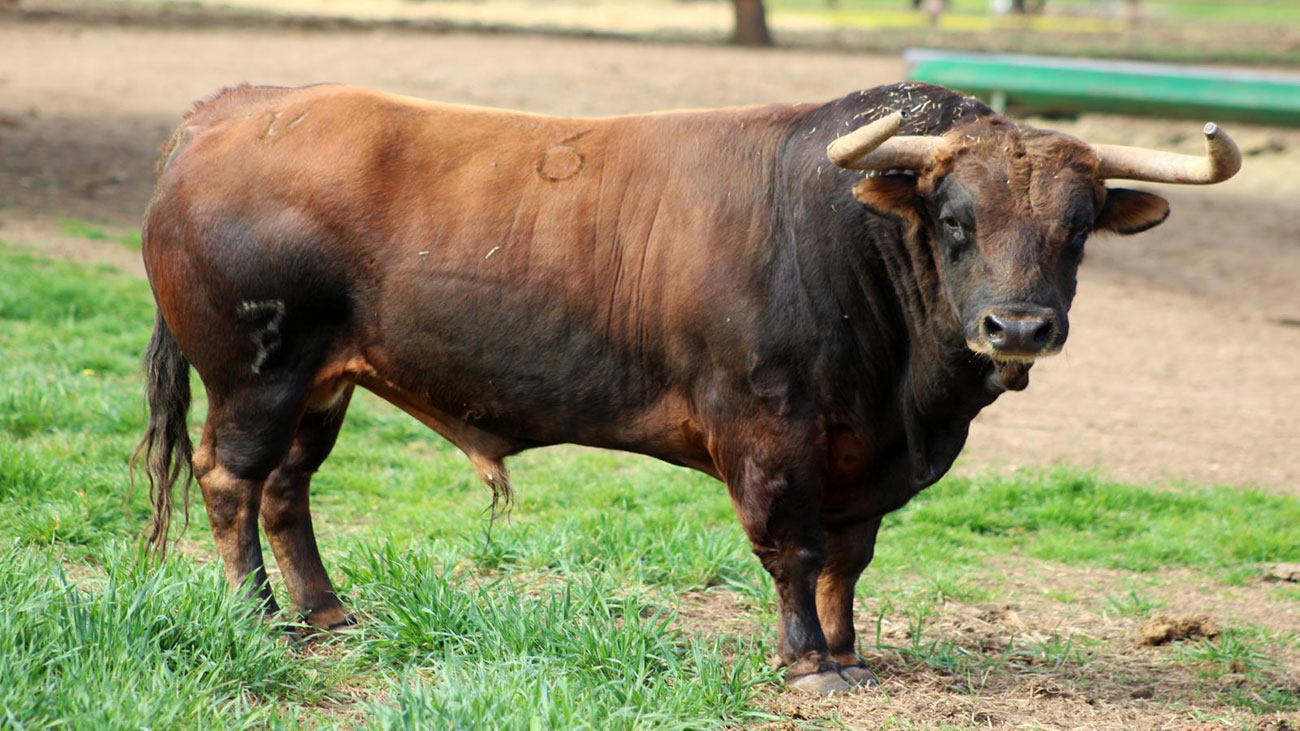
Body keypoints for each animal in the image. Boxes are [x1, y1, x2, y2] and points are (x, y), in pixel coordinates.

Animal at [134, 82, 1237, 691]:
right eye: (955, 216)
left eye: (1079, 224)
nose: (1019, 327)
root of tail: (234, 114)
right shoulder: (769, 430)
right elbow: (794, 550)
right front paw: (808, 663)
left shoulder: (860, 456)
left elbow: (848, 560)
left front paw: (848, 650)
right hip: (256, 374)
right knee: (232, 481)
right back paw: (255, 614)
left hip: (326, 383)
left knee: (289, 487)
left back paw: (324, 611)